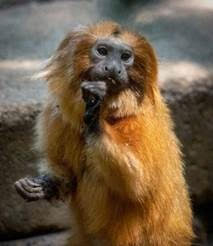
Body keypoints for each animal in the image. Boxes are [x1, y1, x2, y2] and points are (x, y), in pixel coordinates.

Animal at [15, 21, 194, 246]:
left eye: (125, 57)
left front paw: (94, 113)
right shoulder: (56, 112)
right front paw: (46, 185)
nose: (113, 68)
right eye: (102, 51)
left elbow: (138, 183)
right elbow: (67, 175)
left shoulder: (143, 119)